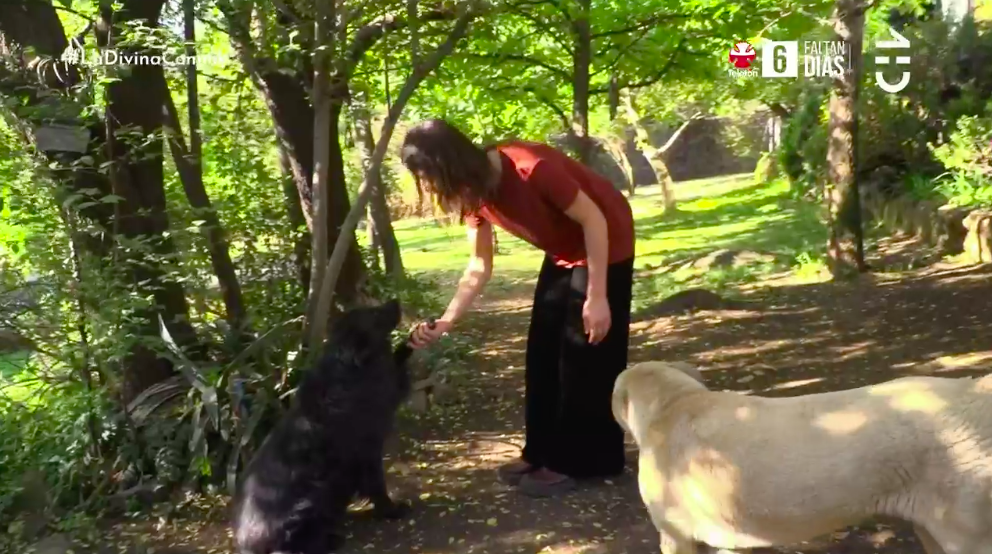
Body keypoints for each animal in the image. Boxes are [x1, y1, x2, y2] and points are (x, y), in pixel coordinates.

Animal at [234, 298, 416, 552]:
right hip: (312, 496)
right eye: (373, 314)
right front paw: (391, 510)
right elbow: (377, 484)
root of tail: (245, 545)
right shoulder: (368, 449)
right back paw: (329, 540)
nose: (395, 301)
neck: (349, 368)